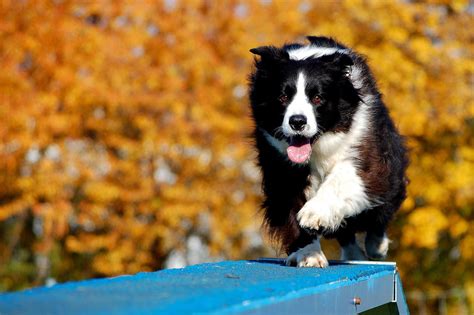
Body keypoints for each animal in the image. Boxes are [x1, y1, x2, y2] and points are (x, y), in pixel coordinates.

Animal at [248, 37, 408, 270]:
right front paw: (309, 254)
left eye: (317, 98)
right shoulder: (279, 164)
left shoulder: (365, 148)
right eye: (283, 97)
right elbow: (290, 204)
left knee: (379, 215)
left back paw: (377, 247)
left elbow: (346, 177)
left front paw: (314, 213)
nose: (297, 122)